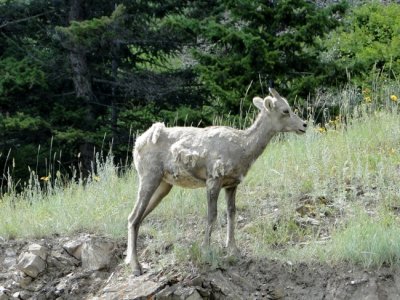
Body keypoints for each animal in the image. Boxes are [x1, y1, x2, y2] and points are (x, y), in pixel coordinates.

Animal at [126, 86, 308, 274]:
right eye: (285, 110)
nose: (304, 125)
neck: (243, 148)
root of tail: (137, 144)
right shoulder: (213, 180)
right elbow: (212, 214)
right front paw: (206, 250)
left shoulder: (231, 184)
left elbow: (231, 213)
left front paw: (234, 250)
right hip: (149, 177)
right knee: (133, 217)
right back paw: (136, 267)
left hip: (164, 185)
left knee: (137, 218)